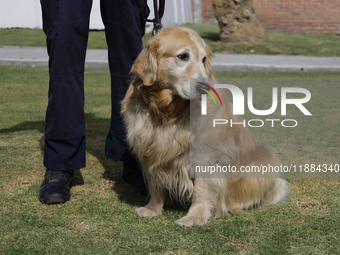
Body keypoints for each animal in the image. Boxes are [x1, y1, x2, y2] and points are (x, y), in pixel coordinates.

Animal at [121, 26, 288, 226]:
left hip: (263, 159)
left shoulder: (207, 154)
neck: (169, 111)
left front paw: (195, 216)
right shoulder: (149, 147)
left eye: (203, 59)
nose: (206, 89)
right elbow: (155, 183)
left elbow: (202, 189)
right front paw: (153, 208)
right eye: (183, 56)